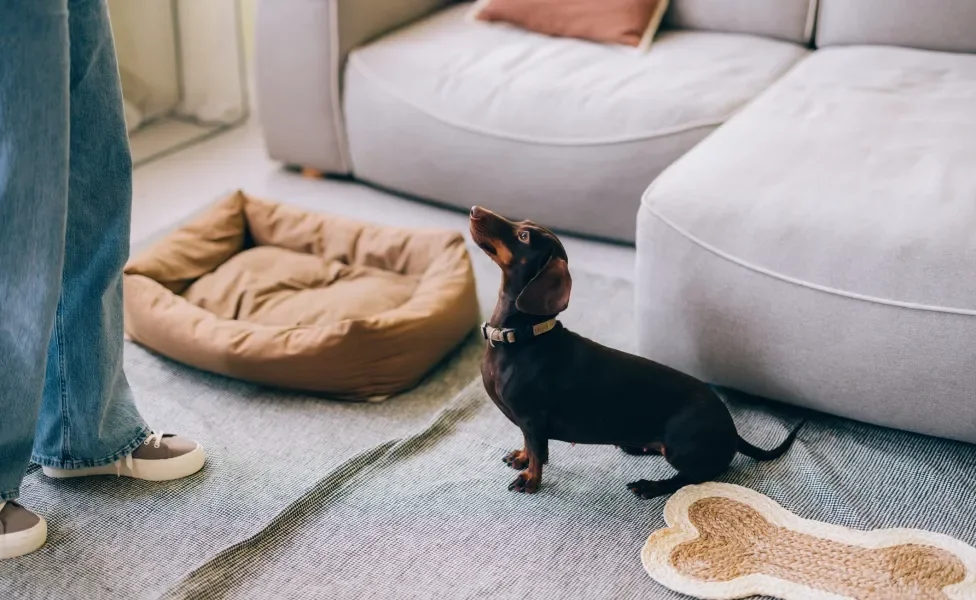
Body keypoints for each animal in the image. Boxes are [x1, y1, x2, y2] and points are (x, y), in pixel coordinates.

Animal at [470, 206, 800, 496]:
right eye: (523, 224)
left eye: (524, 236)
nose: (474, 210)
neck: (521, 338)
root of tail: (730, 427)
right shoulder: (526, 423)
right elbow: (529, 445)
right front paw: (522, 459)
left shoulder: (532, 418)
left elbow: (539, 451)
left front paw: (531, 479)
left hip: (680, 447)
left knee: (693, 477)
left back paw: (650, 486)